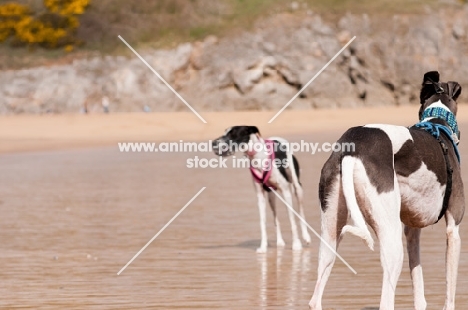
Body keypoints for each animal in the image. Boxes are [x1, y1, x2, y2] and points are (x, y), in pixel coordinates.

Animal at [310, 71, 464, 310]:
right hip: (391, 240)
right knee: (386, 299)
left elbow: (419, 292)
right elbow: (449, 295)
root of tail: (351, 148)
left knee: (315, 297)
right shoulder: (453, 230)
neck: (438, 122)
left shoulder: (412, 230)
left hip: (331, 232)